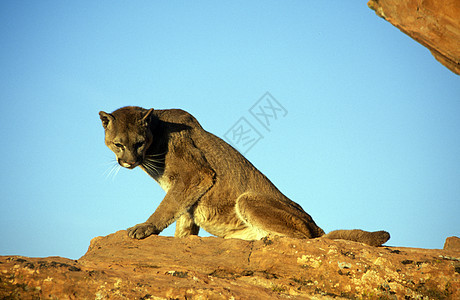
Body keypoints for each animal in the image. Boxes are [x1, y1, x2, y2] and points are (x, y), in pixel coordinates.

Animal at [99, 106, 390, 247]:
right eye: (118, 144)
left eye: (138, 143)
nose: (129, 161)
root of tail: (317, 225)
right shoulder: (186, 188)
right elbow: (183, 215)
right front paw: (182, 239)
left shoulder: (194, 175)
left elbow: (169, 206)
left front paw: (144, 227)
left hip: (248, 199)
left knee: (307, 239)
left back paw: (271, 239)